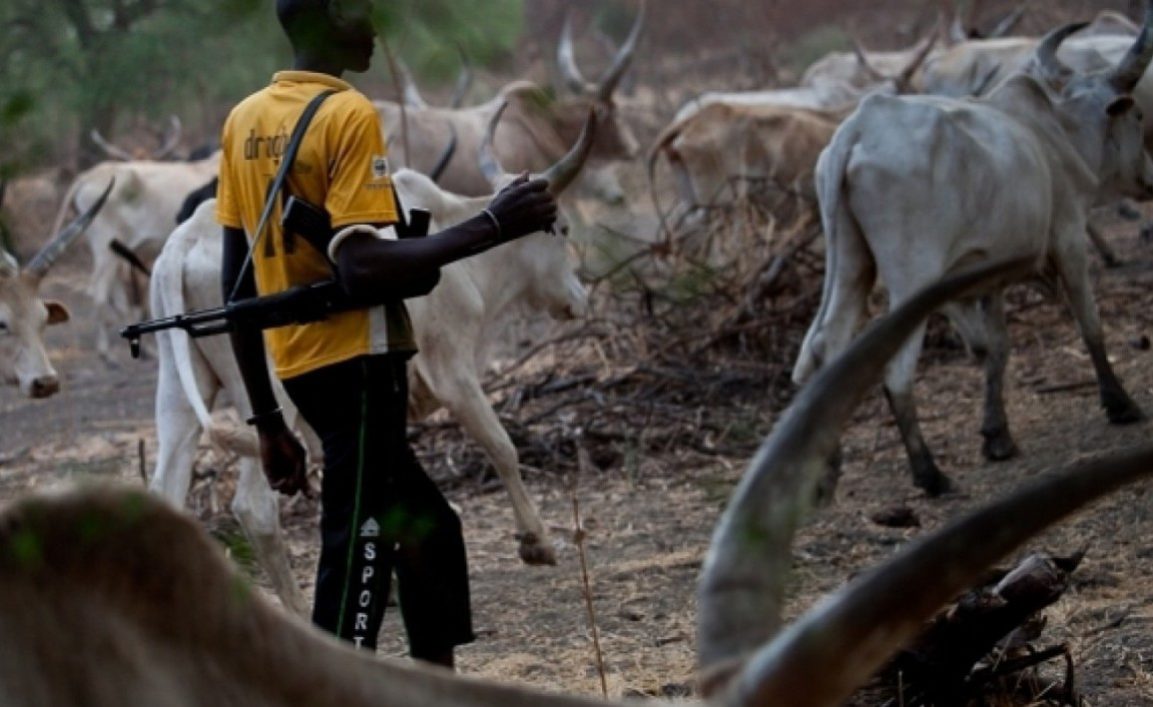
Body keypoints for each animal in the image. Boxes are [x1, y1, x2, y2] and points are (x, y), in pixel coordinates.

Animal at [49, 151, 221, 355]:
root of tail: (86, 176)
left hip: (113, 253)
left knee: (117, 295)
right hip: (105, 247)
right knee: (98, 291)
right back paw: (106, 351)